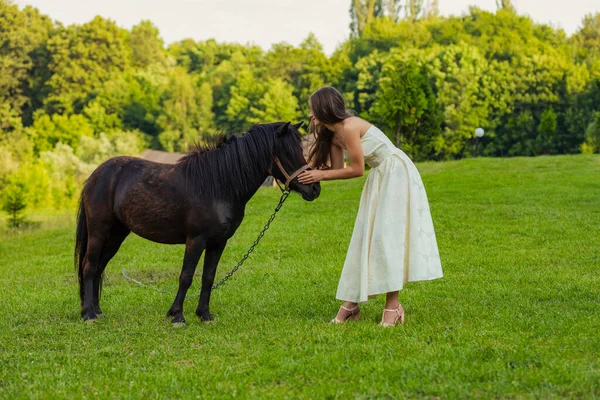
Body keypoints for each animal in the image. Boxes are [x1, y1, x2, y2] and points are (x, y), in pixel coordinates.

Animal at [75, 123, 322, 324]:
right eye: (289, 152)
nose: (315, 188)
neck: (218, 185)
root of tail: (95, 175)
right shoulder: (195, 240)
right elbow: (186, 277)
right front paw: (177, 315)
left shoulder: (218, 243)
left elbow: (208, 277)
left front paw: (204, 314)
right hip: (99, 232)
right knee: (89, 266)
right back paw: (88, 314)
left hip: (116, 235)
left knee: (99, 268)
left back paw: (97, 311)